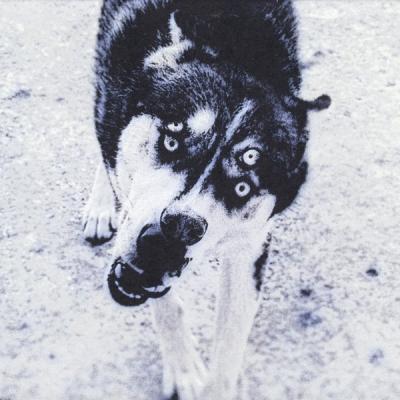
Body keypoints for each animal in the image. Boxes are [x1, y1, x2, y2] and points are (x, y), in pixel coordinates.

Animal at [82, 1, 331, 398]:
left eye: (243, 187)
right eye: (171, 140)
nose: (169, 238)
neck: (231, 44)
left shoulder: (250, 247)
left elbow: (229, 345)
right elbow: (167, 307)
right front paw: (183, 369)